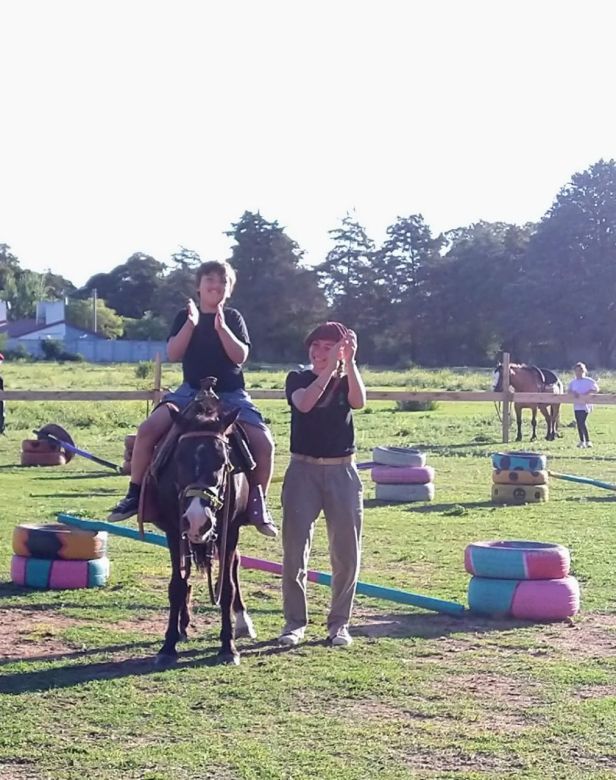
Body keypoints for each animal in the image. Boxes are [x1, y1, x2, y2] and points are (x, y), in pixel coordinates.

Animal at [153, 384, 256, 664]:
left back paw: (242, 622)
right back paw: (182, 625)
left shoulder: (230, 531)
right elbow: (177, 585)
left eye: (223, 461)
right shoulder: (174, 531)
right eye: (178, 459)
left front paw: (228, 646)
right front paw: (168, 645)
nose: (198, 520)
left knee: (234, 566)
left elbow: (227, 586)